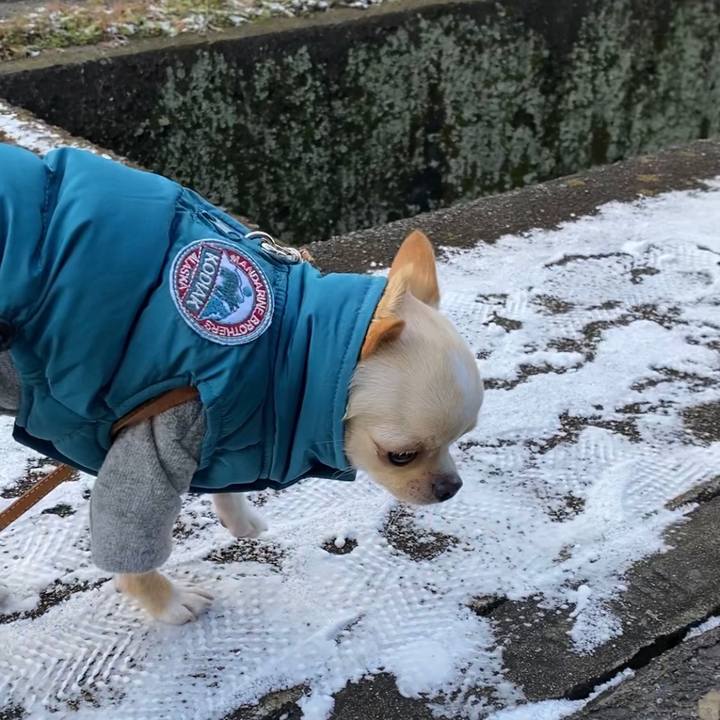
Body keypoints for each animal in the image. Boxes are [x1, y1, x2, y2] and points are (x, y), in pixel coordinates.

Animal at [0, 144, 483, 623]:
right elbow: (131, 536)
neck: (281, 340)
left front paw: (239, 519)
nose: (452, 488)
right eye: (400, 457)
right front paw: (169, 603)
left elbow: (224, 483)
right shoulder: (156, 439)